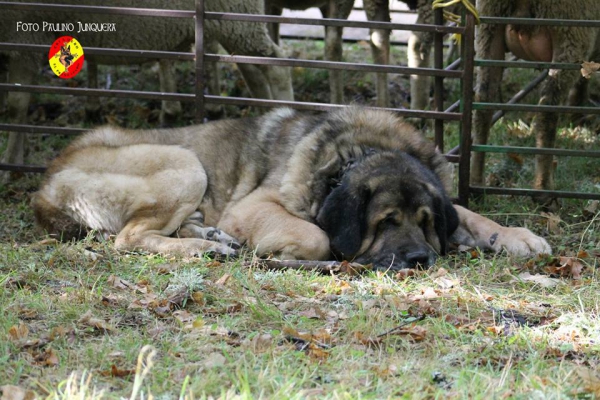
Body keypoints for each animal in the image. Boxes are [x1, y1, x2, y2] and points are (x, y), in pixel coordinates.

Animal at [0, 0, 292, 178]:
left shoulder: (24, 37)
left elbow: (16, 105)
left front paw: (9, 164)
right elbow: (20, 107)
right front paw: (17, 158)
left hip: (238, 20)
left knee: (277, 66)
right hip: (232, 25)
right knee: (255, 72)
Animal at [31, 108, 548, 270]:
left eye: (425, 222)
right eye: (386, 221)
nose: (421, 259)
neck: (356, 153)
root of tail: (47, 182)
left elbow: (469, 214)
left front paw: (518, 237)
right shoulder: (253, 206)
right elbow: (316, 234)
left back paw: (208, 237)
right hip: (184, 164)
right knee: (129, 238)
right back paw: (205, 248)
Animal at [472, 0, 596, 194]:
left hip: (489, 26)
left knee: (483, 101)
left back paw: (477, 183)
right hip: (570, 30)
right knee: (547, 107)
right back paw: (543, 188)